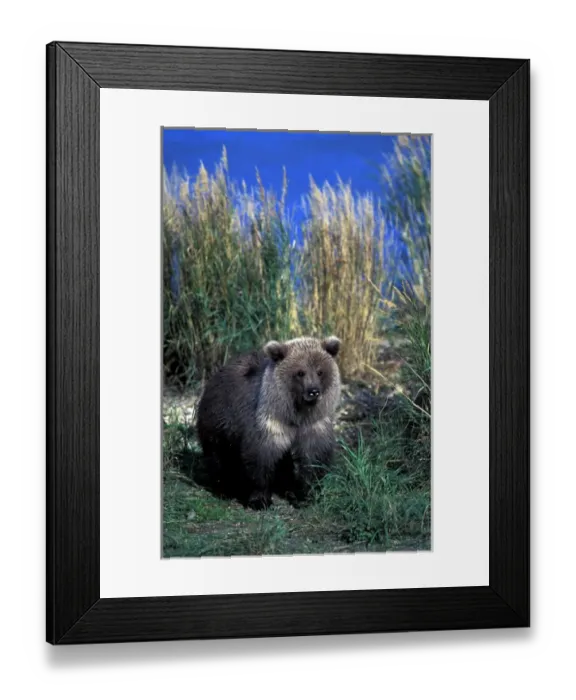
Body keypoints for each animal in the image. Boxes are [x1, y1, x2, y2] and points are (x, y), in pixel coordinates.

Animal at [196, 336, 342, 510]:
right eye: (300, 372)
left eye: (320, 371)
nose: (313, 391)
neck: (297, 414)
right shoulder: (269, 421)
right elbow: (261, 458)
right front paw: (260, 500)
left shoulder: (314, 424)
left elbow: (314, 457)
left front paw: (306, 495)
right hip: (220, 421)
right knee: (220, 455)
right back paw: (225, 489)